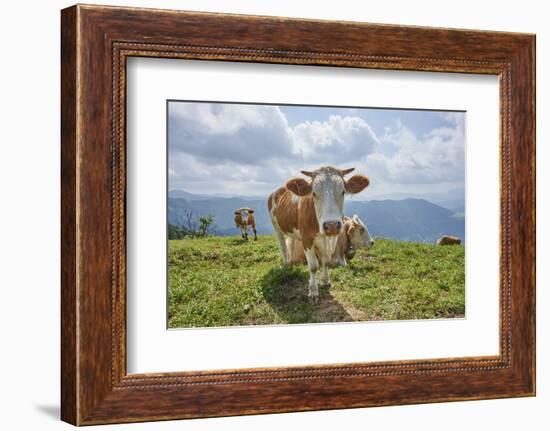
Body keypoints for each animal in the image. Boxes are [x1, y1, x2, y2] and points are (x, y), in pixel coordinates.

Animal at [268, 166, 370, 304]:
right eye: (314, 193)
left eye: (343, 192)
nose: (331, 225)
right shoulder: (306, 240)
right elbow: (313, 266)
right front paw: (313, 291)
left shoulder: (332, 240)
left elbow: (325, 262)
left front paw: (326, 281)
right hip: (276, 226)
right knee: (283, 245)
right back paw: (285, 264)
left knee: (291, 243)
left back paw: (290, 262)